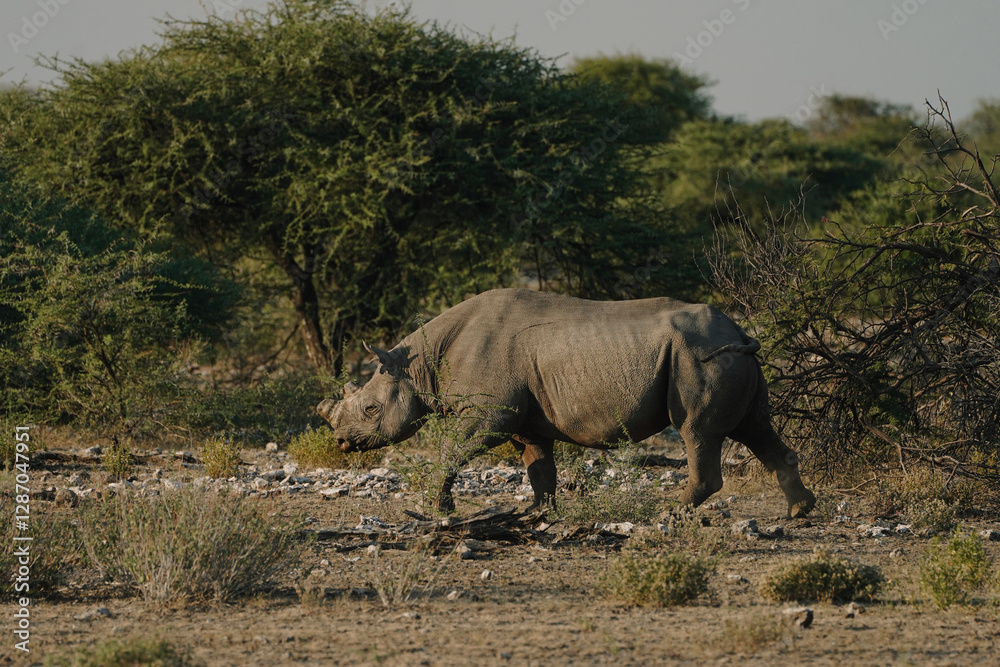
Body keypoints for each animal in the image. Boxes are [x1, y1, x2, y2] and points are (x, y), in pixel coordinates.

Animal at [317, 288, 815, 517]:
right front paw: (536, 513)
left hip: (700, 357)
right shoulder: (527, 420)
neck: (420, 361)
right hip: (733, 359)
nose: (341, 442)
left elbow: (453, 450)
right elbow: (539, 466)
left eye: (370, 410)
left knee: (698, 432)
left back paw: (670, 512)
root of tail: (740, 332)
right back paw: (799, 511)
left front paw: (440, 509)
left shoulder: (489, 413)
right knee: (756, 428)